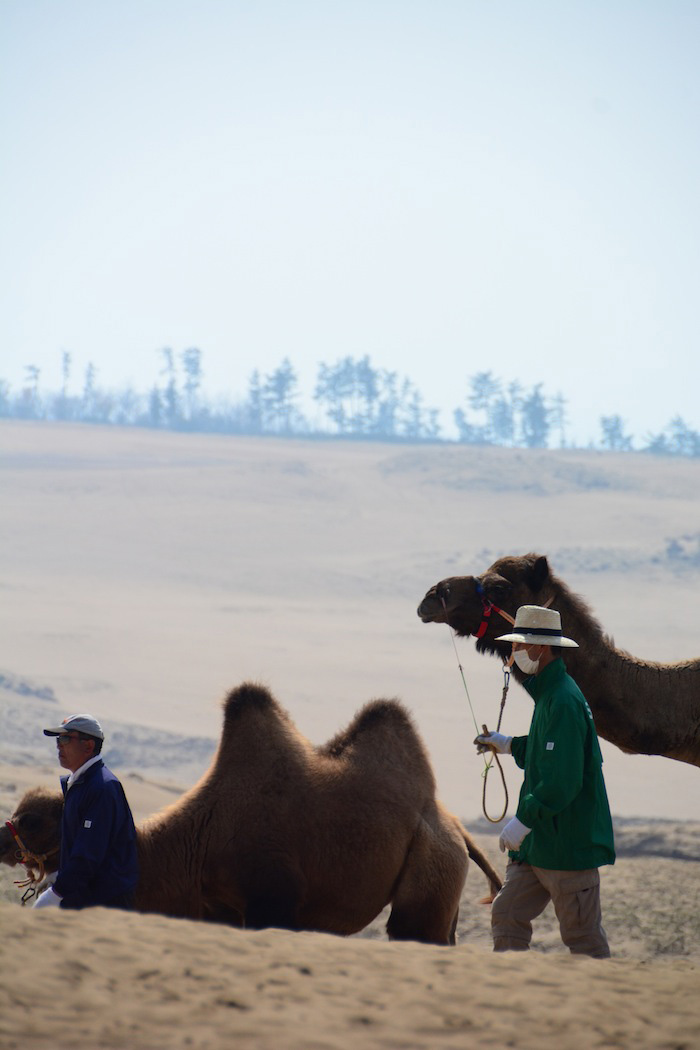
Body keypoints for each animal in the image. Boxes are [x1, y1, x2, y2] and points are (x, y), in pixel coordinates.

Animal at [0, 680, 503, 944]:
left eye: (34, 819)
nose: (2, 839)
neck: (197, 837)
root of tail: (452, 825)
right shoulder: (217, 906)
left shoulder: (274, 897)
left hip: (431, 867)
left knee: (411, 930)